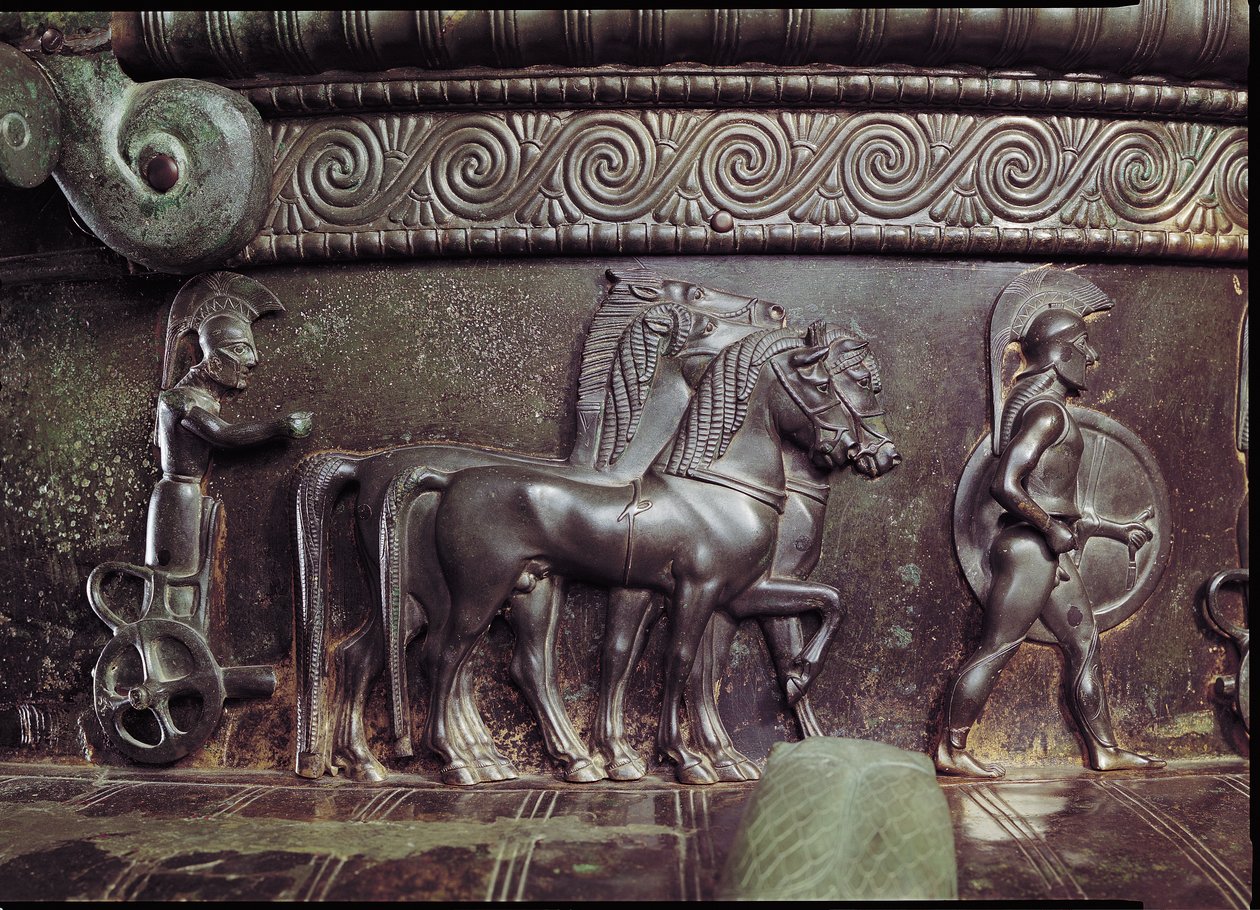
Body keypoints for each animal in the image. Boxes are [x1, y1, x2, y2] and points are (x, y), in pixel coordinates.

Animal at [292, 267, 796, 781]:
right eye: (699, 304)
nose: (776, 314)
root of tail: (366, 466)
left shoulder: (590, 587)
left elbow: (606, 659)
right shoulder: (621, 585)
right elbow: (607, 660)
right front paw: (624, 756)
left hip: (420, 598)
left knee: (372, 655)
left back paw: (403, 760)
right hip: (430, 593)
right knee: (415, 657)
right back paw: (423, 760)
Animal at [383, 322, 897, 781]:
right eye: (825, 384)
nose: (854, 447)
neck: (718, 486)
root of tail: (448, 480)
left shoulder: (743, 592)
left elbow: (830, 601)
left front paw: (797, 677)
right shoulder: (698, 589)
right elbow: (679, 662)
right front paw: (687, 759)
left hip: (529, 590)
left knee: (505, 665)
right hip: (480, 590)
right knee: (443, 657)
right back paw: (458, 762)